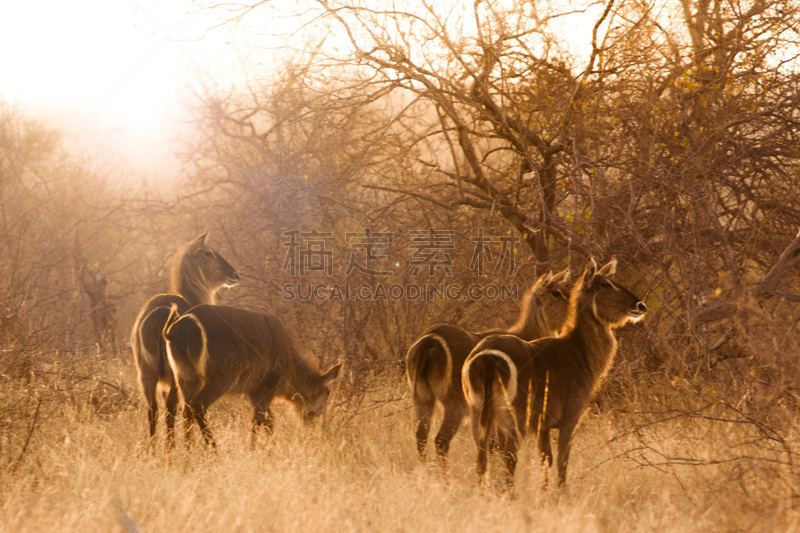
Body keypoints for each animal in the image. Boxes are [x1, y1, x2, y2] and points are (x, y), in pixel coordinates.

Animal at [130, 231, 238, 446]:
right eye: (208, 252)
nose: (234, 274)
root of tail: (160, 312)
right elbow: (187, 411)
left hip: (146, 373)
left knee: (153, 409)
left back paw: (153, 449)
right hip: (177, 374)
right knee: (175, 408)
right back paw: (172, 448)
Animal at [162, 302, 340, 446]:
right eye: (328, 393)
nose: (320, 423)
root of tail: (177, 330)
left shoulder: (254, 392)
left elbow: (268, 421)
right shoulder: (267, 387)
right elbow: (258, 420)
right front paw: (254, 450)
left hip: (184, 377)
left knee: (184, 410)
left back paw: (187, 455)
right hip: (219, 378)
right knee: (197, 405)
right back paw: (213, 451)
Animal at [406, 268, 568, 464]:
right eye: (556, 292)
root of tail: (430, 340)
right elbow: (498, 447)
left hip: (421, 397)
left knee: (421, 436)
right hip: (456, 404)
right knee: (440, 439)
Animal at [462, 256, 644, 488]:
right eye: (605, 284)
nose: (640, 305)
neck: (578, 351)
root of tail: (488, 357)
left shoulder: (543, 426)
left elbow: (545, 459)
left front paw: (544, 491)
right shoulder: (569, 420)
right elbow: (562, 461)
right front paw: (561, 493)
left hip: (477, 412)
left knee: (481, 458)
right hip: (513, 419)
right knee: (508, 458)